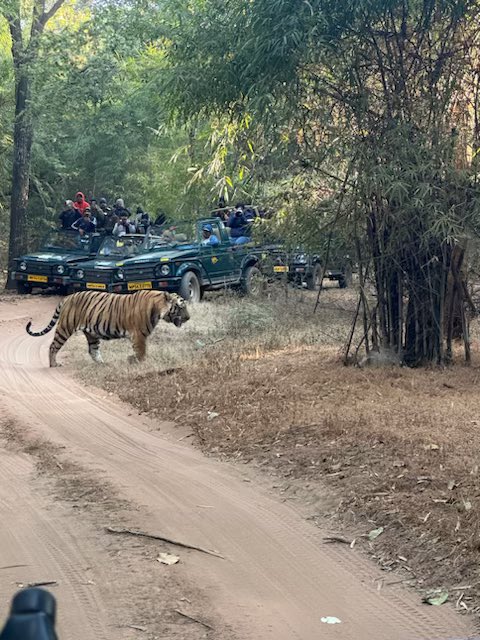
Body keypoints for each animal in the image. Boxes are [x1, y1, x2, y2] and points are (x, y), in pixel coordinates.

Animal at [26, 290, 190, 367]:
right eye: (181, 307)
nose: (188, 318)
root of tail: (67, 297)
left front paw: (132, 360)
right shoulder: (139, 335)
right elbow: (141, 352)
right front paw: (142, 364)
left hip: (91, 333)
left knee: (93, 351)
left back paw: (103, 364)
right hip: (65, 327)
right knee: (53, 346)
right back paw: (53, 364)